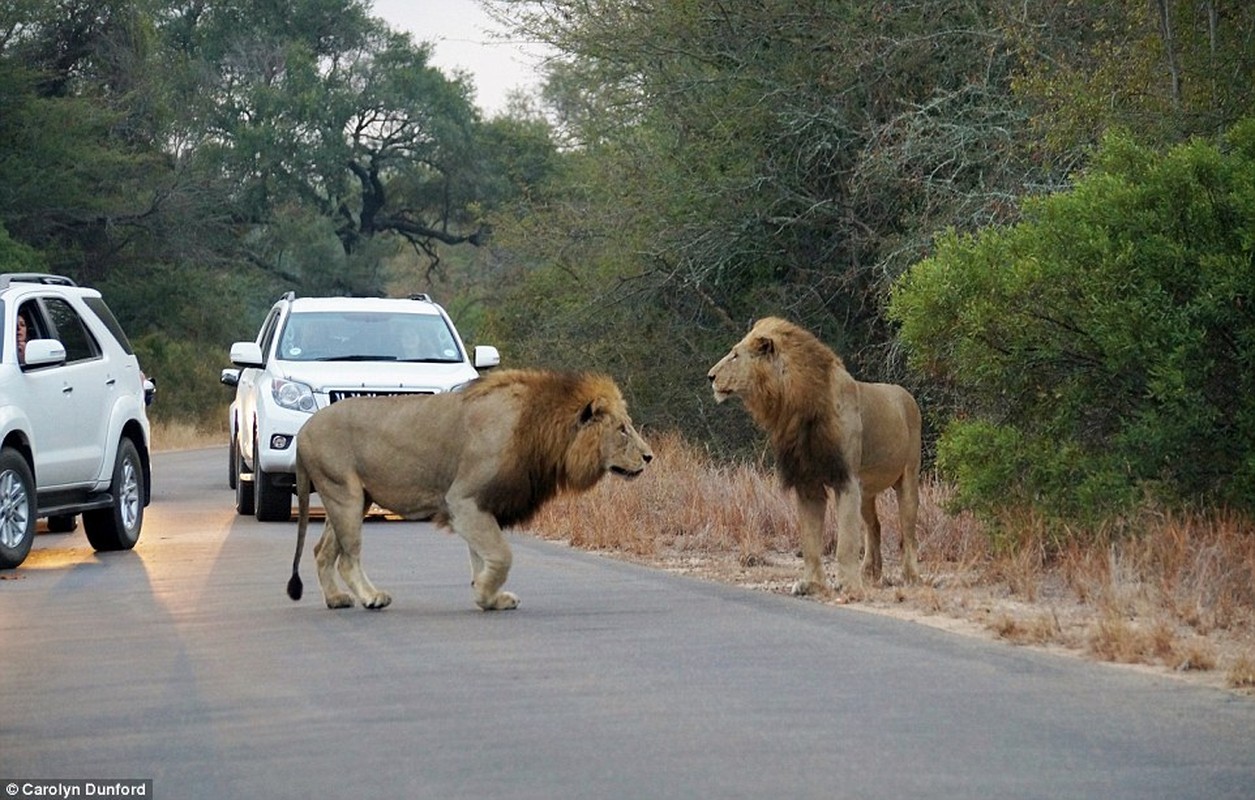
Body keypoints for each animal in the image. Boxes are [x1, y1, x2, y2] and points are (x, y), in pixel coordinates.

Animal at [287, 369, 652, 610]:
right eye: (622, 429)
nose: (649, 457)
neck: (542, 431)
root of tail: (303, 430)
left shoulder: (480, 505)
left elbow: (482, 555)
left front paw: (490, 597)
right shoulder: (462, 500)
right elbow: (501, 555)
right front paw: (485, 592)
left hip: (350, 498)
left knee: (322, 551)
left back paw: (336, 599)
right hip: (344, 494)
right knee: (348, 558)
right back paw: (372, 598)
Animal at [707, 315, 923, 595]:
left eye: (735, 355)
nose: (710, 376)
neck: (793, 406)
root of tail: (906, 393)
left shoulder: (845, 479)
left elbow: (846, 542)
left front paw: (848, 584)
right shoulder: (807, 482)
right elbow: (810, 541)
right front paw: (811, 583)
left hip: (908, 478)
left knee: (908, 532)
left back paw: (911, 576)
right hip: (866, 491)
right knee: (873, 526)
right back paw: (870, 572)